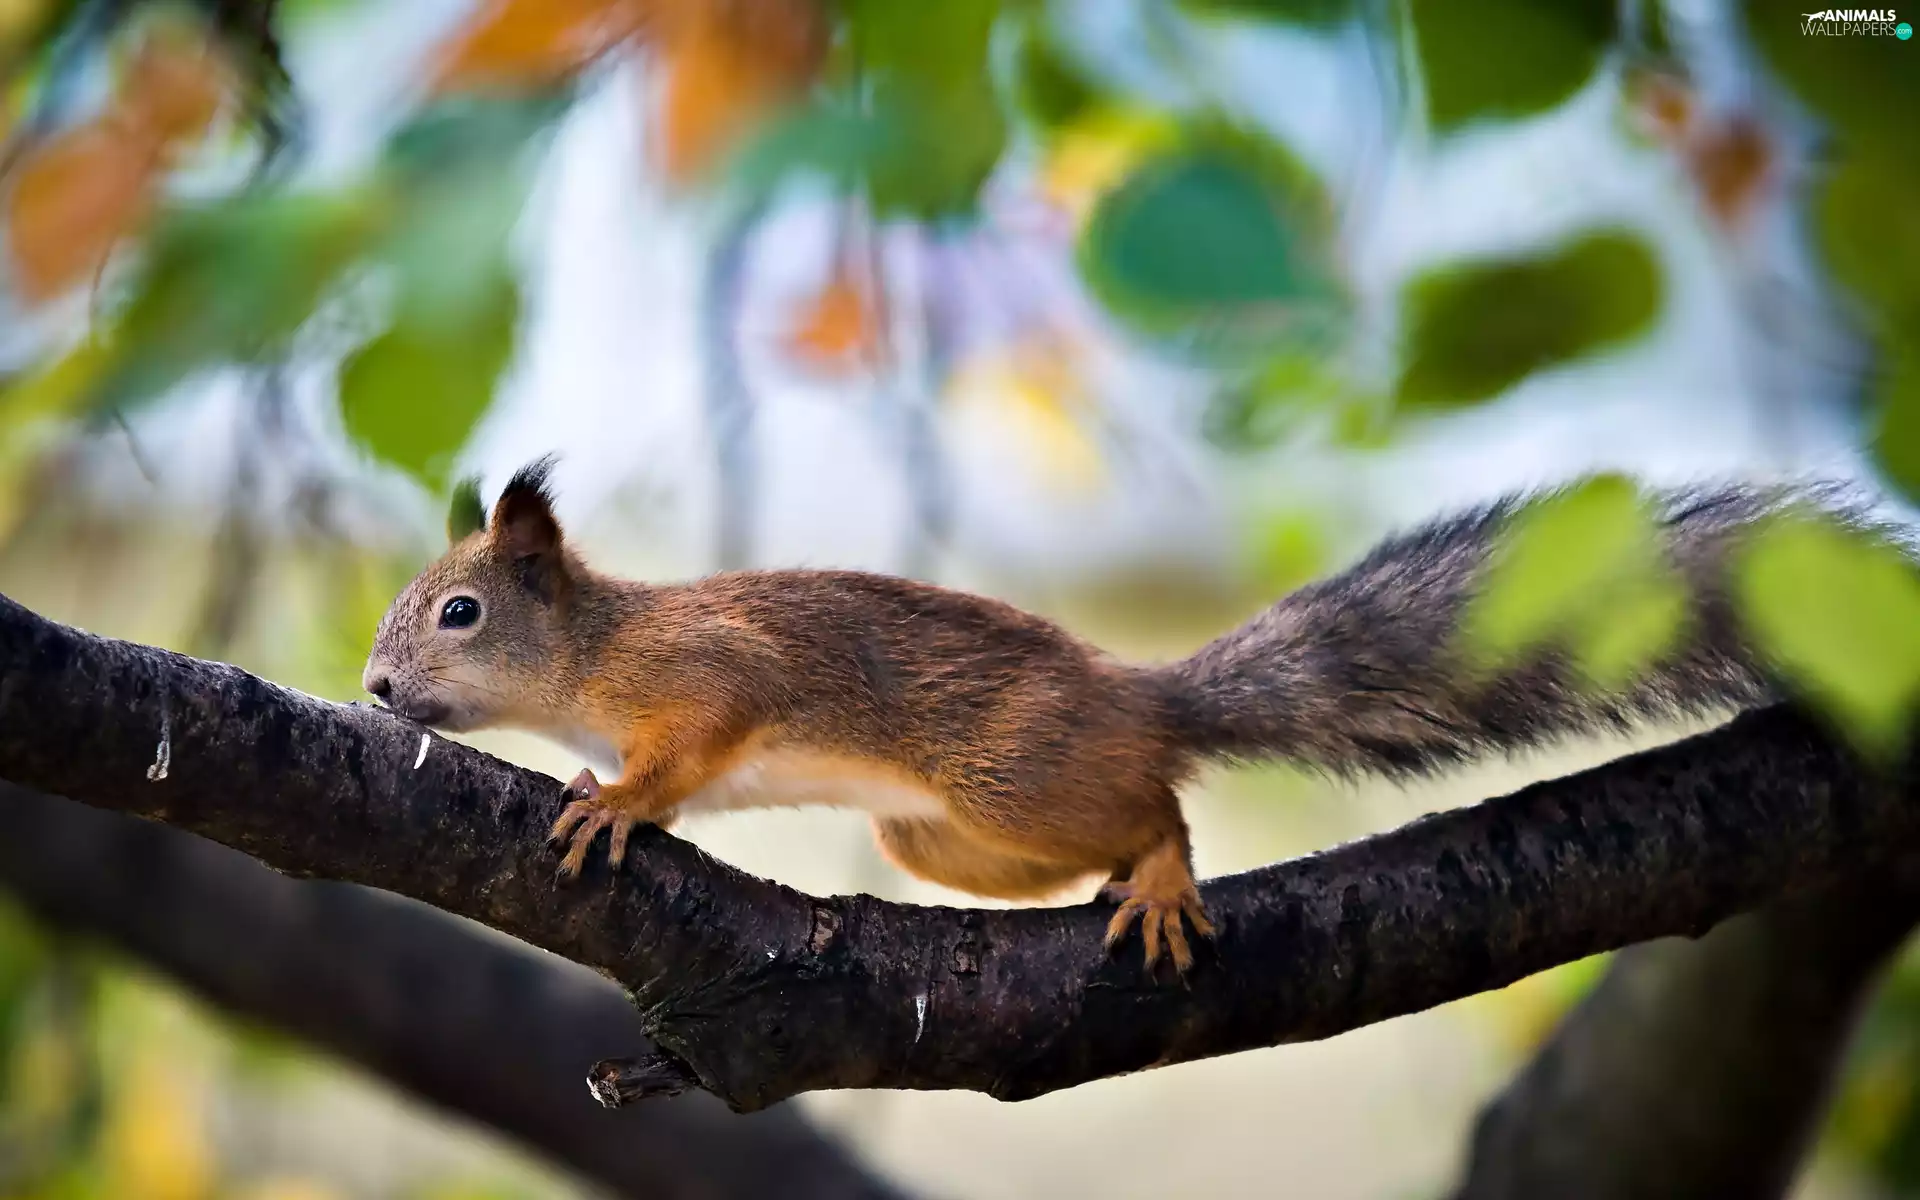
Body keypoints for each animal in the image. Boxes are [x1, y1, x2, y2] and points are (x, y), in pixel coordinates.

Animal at [362, 458, 1861, 974]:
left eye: (459, 613)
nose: (373, 692)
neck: (593, 653)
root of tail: (1138, 695)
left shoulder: (708, 674)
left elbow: (679, 755)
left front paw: (613, 806)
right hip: (944, 839)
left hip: (1015, 774)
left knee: (1157, 801)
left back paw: (1162, 876)